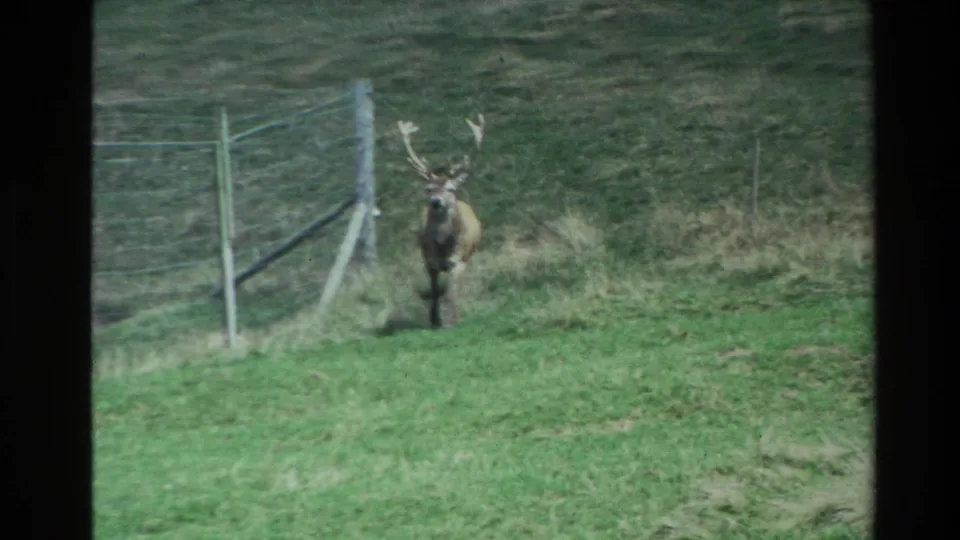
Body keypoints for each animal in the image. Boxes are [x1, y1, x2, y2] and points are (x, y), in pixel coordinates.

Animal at [397, 114, 485, 329]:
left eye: (451, 188)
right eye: (428, 188)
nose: (436, 202)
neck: (443, 245)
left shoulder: (458, 261)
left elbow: (452, 293)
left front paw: (451, 321)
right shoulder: (429, 261)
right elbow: (435, 291)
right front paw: (434, 320)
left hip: (467, 257)